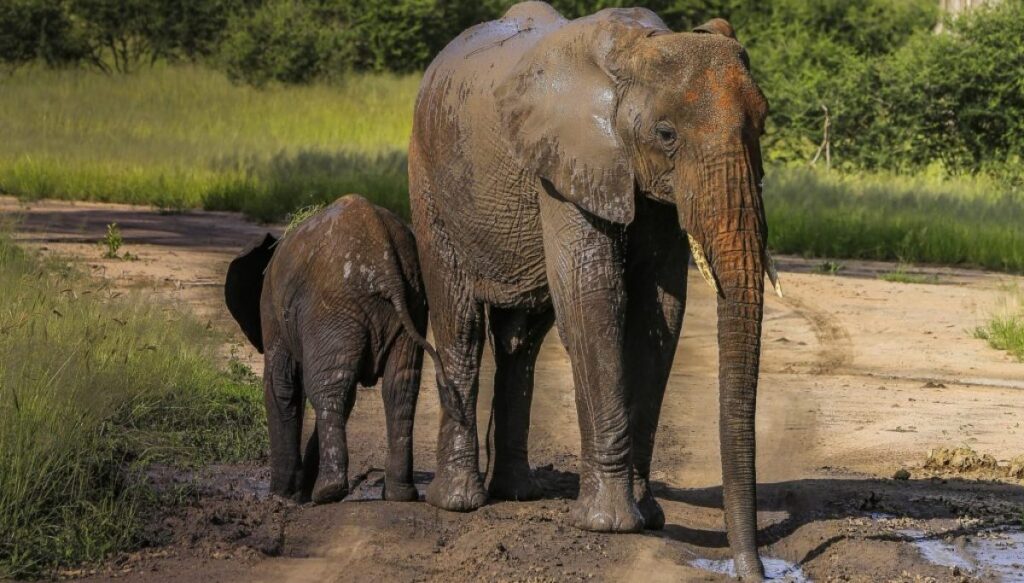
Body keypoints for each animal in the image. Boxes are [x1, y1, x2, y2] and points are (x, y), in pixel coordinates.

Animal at [224, 195, 455, 505]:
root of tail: (386, 265)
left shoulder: (271, 309)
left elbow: (281, 385)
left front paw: (284, 496)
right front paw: (296, 492)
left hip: (332, 308)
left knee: (328, 388)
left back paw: (327, 493)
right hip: (412, 300)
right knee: (398, 388)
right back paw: (399, 494)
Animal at [409, 2, 780, 579]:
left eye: (763, 125)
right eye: (666, 134)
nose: (752, 569)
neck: (638, 50)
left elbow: (660, 309)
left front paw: (648, 515)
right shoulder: (567, 167)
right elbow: (592, 296)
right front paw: (610, 525)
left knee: (520, 343)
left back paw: (518, 493)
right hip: (429, 179)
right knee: (460, 325)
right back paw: (458, 503)